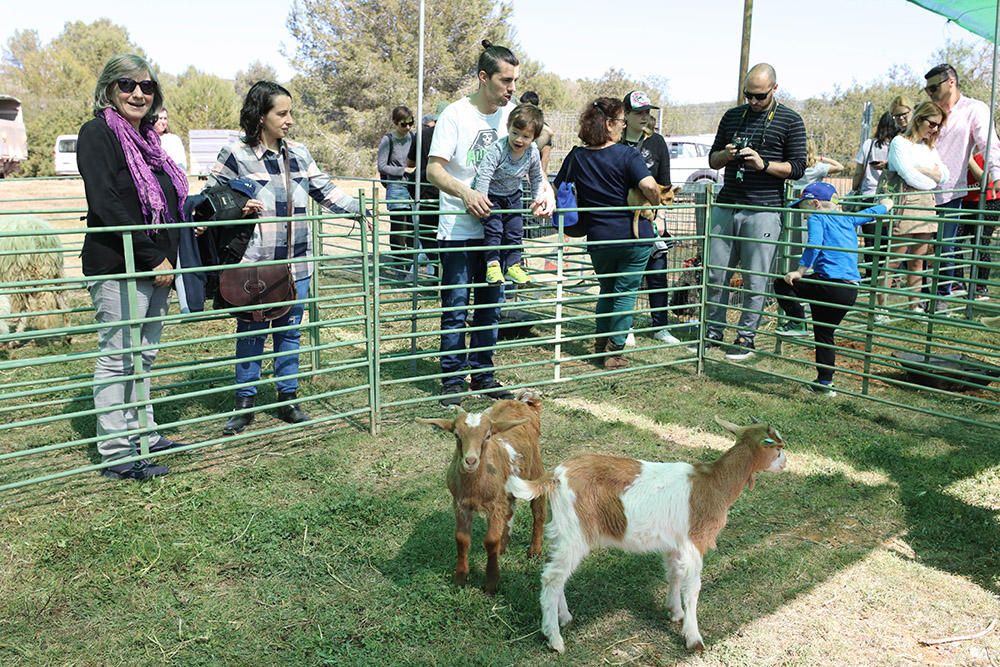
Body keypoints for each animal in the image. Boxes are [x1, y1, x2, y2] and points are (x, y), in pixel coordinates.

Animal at [418, 386, 552, 596]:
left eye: (488, 435)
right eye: (456, 435)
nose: (470, 460)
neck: (474, 487)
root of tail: (522, 402)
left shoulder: (494, 505)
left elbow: (490, 540)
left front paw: (491, 583)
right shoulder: (460, 504)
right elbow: (462, 539)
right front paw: (460, 578)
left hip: (535, 469)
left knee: (538, 510)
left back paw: (534, 550)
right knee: (510, 510)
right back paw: (503, 546)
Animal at [508, 418, 788, 652]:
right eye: (777, 448)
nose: (786, 463)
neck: (713, 483)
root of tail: (555, 475)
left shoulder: (674, 543)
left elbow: (674, 574)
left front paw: (675, 612)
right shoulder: (694, 542)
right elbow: (693, 588)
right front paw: (693, 638)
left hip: (563, 533)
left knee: (557, 575)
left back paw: (564, 617)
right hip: (575, 533)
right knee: (552, 579)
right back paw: (554, 639)